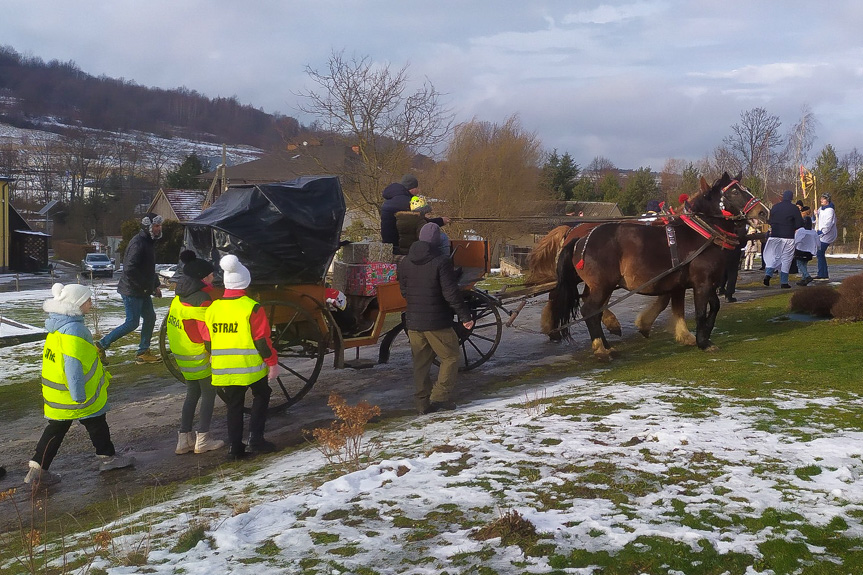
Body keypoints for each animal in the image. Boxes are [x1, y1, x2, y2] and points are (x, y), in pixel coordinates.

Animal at [552, 173, 768, 358]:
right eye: (734, 192)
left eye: (747, 188)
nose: (763, 211)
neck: (701, 233)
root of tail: (580, 239)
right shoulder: (702, 282)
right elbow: (700, 311)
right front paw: (701, 341)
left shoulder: (698, 282)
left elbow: (711, 306)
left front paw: (698, 335)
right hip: (603, 285)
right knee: (589, 311)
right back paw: (601, 349)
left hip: (599, 286)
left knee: (595, 312)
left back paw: (606, 344)